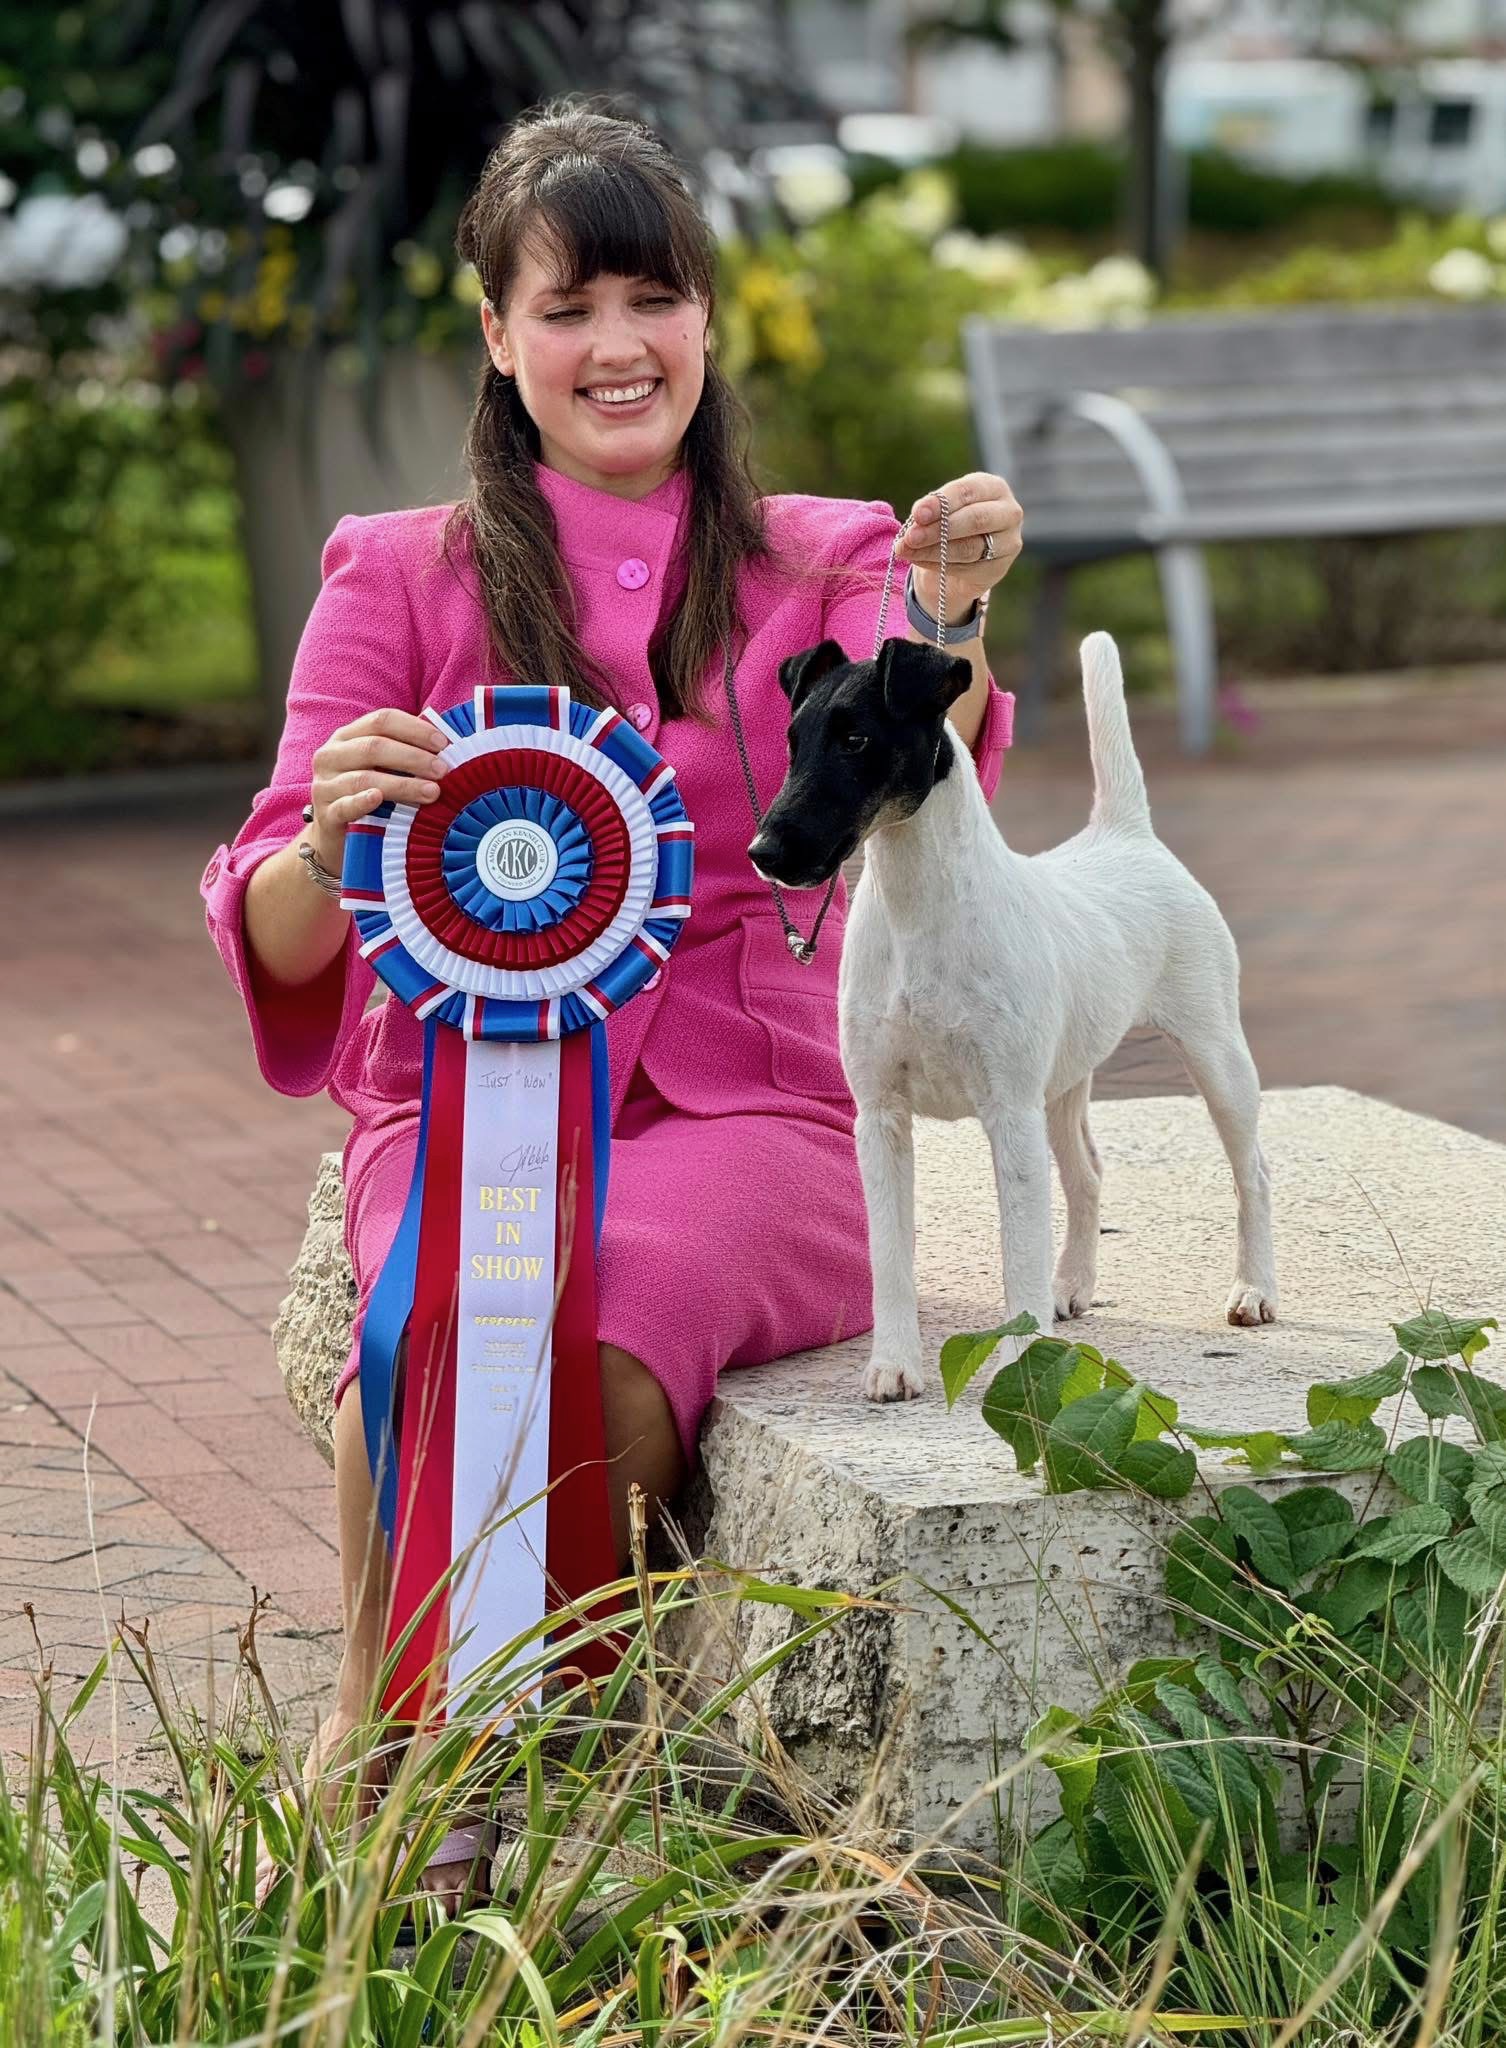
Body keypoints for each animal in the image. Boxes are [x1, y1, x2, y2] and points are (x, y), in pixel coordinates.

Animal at [748, 630, 1277, 1402]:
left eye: (856, 738)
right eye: (793, 739)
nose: (766, 852)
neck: (920, 918)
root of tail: (1127, 835)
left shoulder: (1009, 1114)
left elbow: (1017, 1255)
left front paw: (1026, 1368)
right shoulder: (881, 1119)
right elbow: (890, 1255)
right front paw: (895, 1364)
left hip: (1215, 1056)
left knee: (1253, 1170)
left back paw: (1255, 1290)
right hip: (1063, 1086)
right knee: (1088, 1174)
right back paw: (1073, 1286)